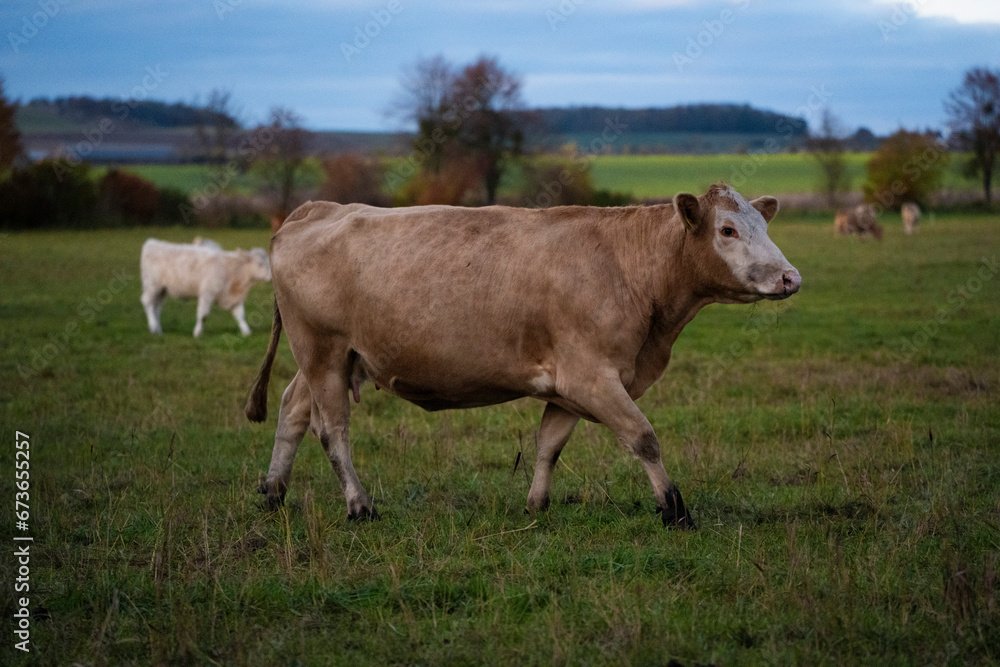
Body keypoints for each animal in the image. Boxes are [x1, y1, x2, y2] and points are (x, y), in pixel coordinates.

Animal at [141, 239, 272, 336]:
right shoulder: (207, 293)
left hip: (162, 290)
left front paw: (246, 331)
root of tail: (152, 243)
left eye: (268, 262)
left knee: (157, 307)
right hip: (152, 285)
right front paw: (198, 332)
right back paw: (153, 326)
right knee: (148, 302)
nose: (271, 277)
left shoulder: (235, 297)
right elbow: (203, 314)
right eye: (260, 264)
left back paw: (158, 330)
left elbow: (240, 315)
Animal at [246, 185, 800, 528]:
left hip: (327, 359)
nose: (790, 277)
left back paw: (273, 492)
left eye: (763, 225)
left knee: (293, 411)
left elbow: (549, 444)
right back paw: (360, 507)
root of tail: (315, 208)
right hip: (322, 351)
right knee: (332, 429)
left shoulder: (569, 384)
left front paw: (536, 506)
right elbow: (643, 438)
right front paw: (674, 510)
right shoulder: (591, 376)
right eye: (727, 230)